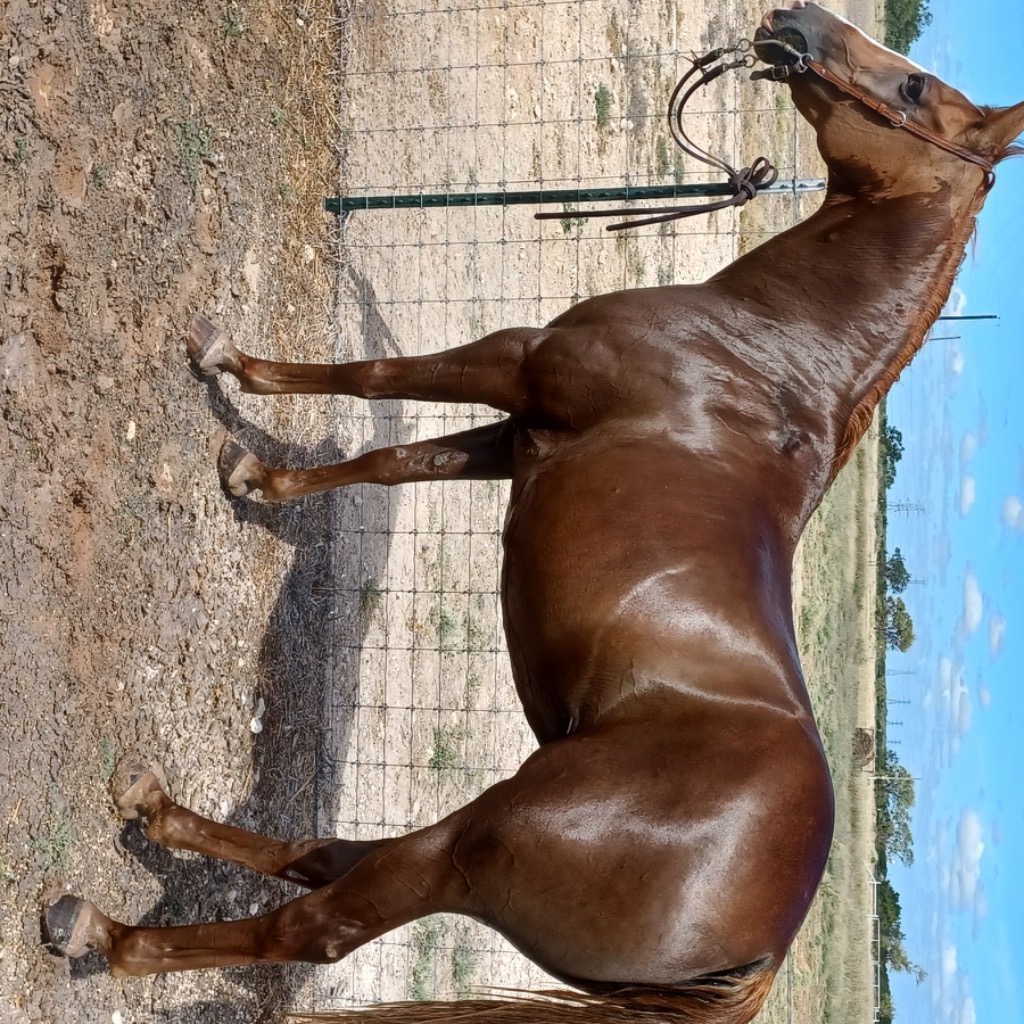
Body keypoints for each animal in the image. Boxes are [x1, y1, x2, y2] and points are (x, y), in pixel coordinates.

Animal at [44, 4, 1024, 1022]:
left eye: (913, 87)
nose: (795, 21)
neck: (766, 358)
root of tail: (758, 953)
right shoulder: (519, 437)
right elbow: (395, 460)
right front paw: (256, 476)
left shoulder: (516, 362)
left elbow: (377, 375)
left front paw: (234, 368)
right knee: (325, 856)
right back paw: (152, 808)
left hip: (474, 845)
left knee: (315, 924)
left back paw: (103, 931)